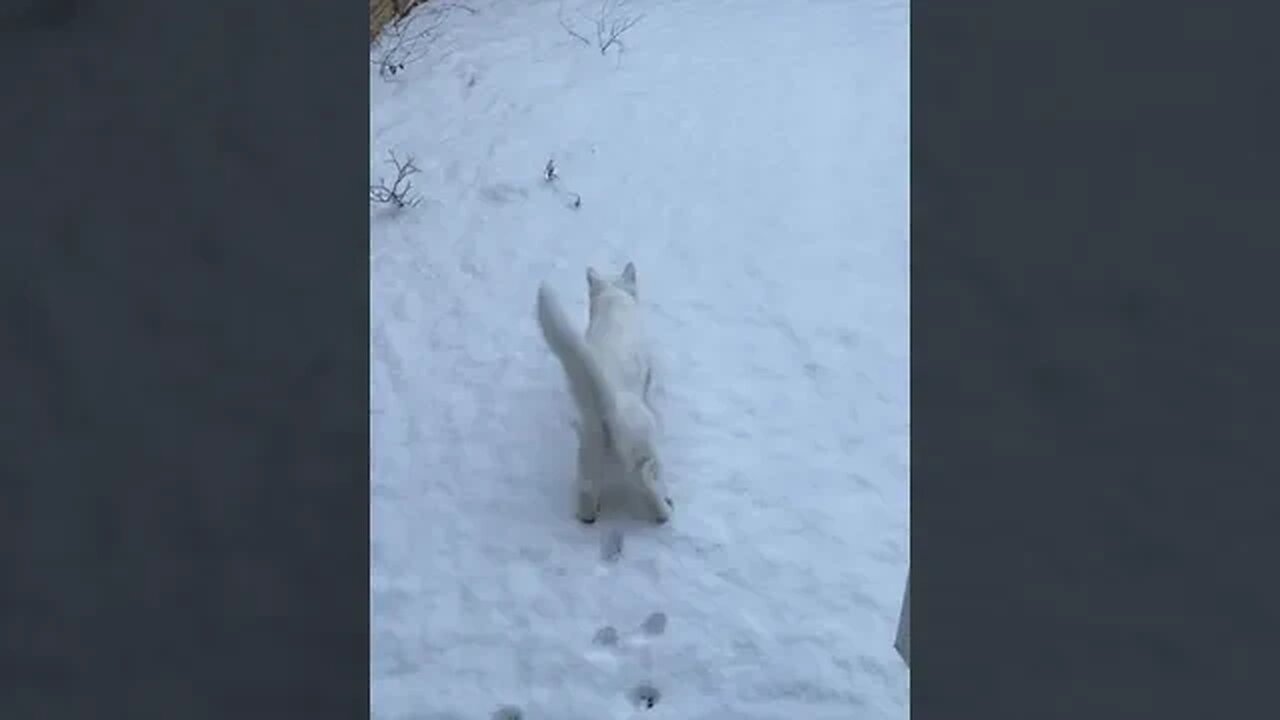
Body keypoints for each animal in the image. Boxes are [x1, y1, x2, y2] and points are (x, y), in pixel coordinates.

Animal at [532, 263, 675, 520]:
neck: (613, 300)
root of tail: (607, 416)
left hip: (587, 468)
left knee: (587, 502)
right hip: (646, 452)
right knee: (651, 486)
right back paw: (665, 508)